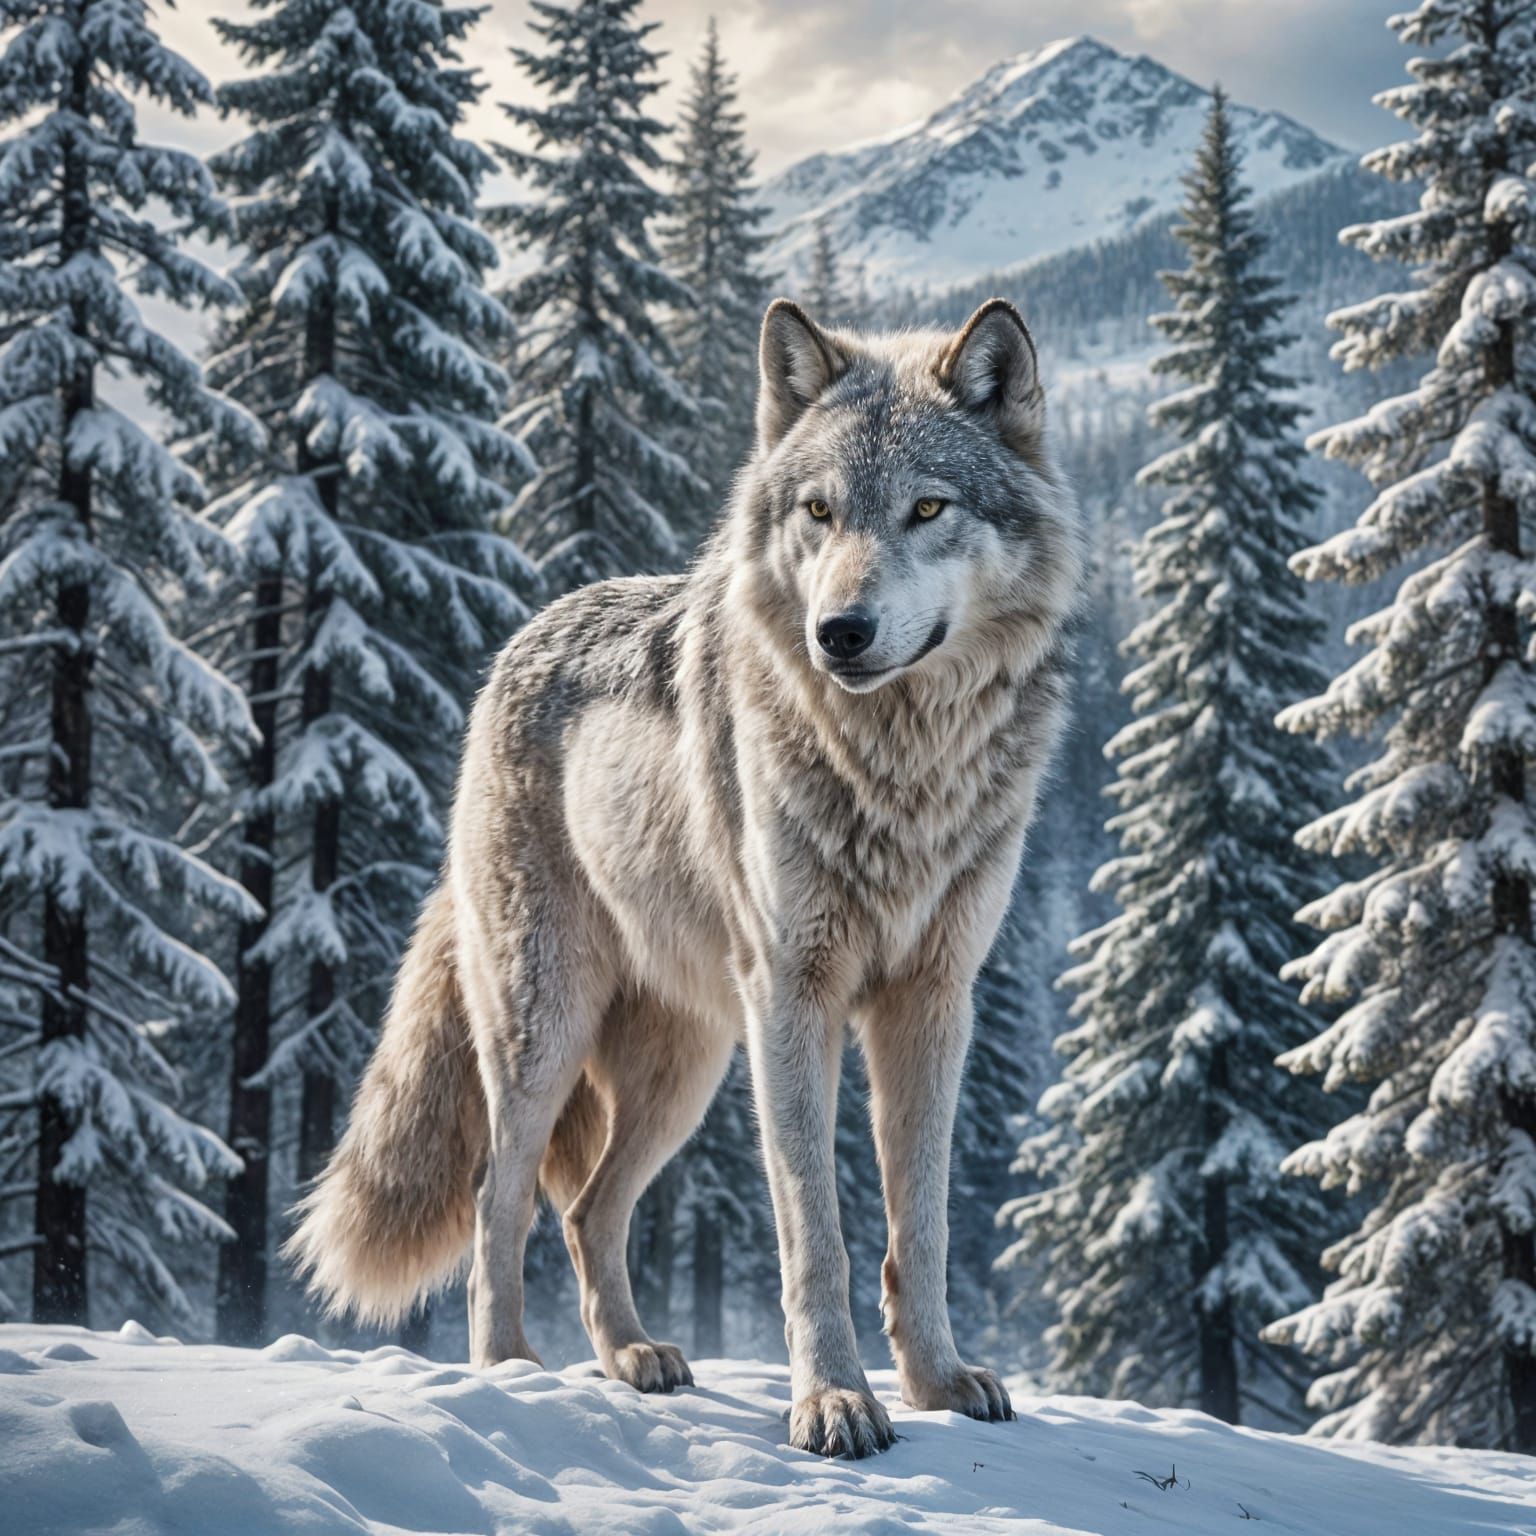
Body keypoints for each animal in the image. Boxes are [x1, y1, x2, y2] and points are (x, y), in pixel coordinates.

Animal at [286, 296, 1085, 1458]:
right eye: (819, 511)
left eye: (928, 507)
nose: (839, 632)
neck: (897, 769)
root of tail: (516, 645)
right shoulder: (795, 998)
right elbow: (816, 1234)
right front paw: (834, 1402)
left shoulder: (932, 1002)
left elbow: (922, 1224)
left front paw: (936, 1384)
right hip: (549, 1031)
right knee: (498, 1198)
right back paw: (511, 1368)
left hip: (689, 1068)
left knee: (587, 1210)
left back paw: (633, 1358)